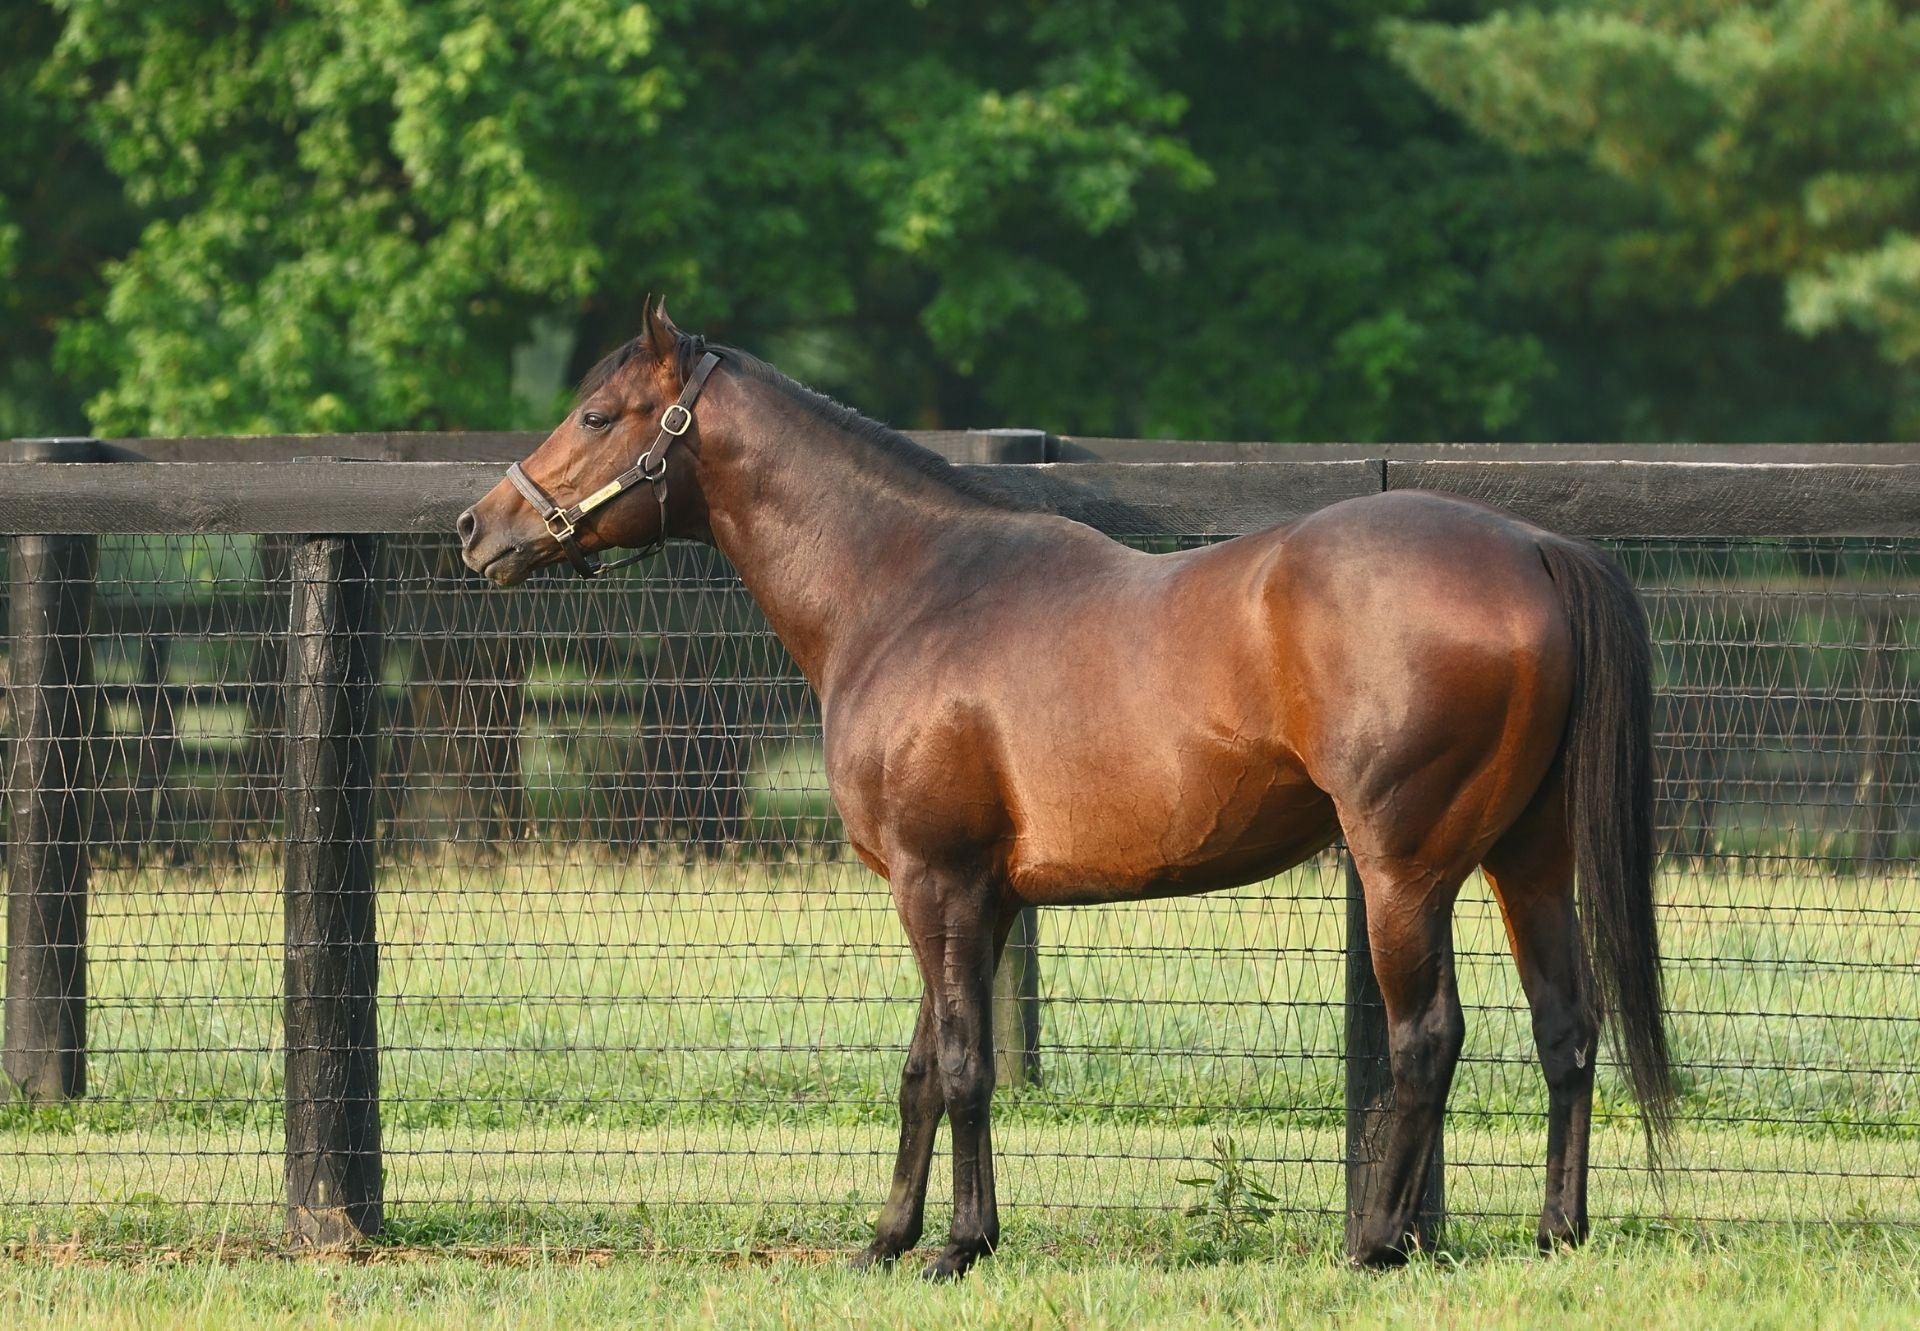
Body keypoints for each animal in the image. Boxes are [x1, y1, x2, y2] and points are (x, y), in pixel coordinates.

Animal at [456, 301, 1674, 1275]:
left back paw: (1374, 1241)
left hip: (1403, 871)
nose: (479, 527)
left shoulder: (934, 880)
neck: (905, 588)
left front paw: (956, 1245)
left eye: (599, 416)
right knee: (1568, 1027)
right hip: (1528, 857)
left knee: (1429, 1037)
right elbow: (924, 1067)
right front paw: (890, 1238)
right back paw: (1555, 1231)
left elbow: (962, 1064)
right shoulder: (974, 895)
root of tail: (1532, 545)